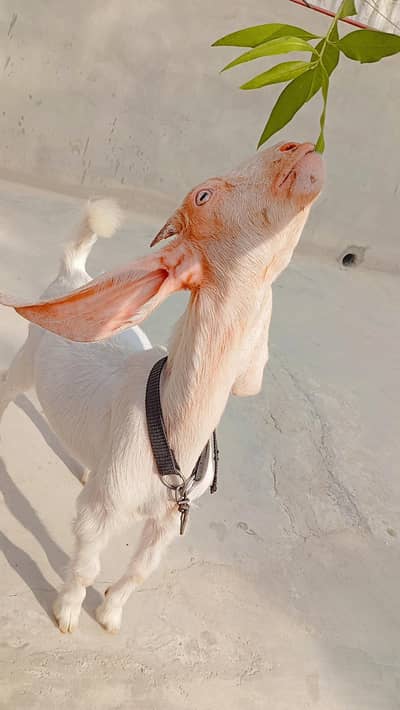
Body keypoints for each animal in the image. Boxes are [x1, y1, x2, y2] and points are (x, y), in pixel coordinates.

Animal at [0, 141, 324, 633]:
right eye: (203, 195)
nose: (301, 147)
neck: (171, 424)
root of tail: (74, 276)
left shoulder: (171, 519)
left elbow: (140, 570)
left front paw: (110, 614)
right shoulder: (104, 508)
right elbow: (87, 563)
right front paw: (68, 613)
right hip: (28, 358)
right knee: (9, 387)